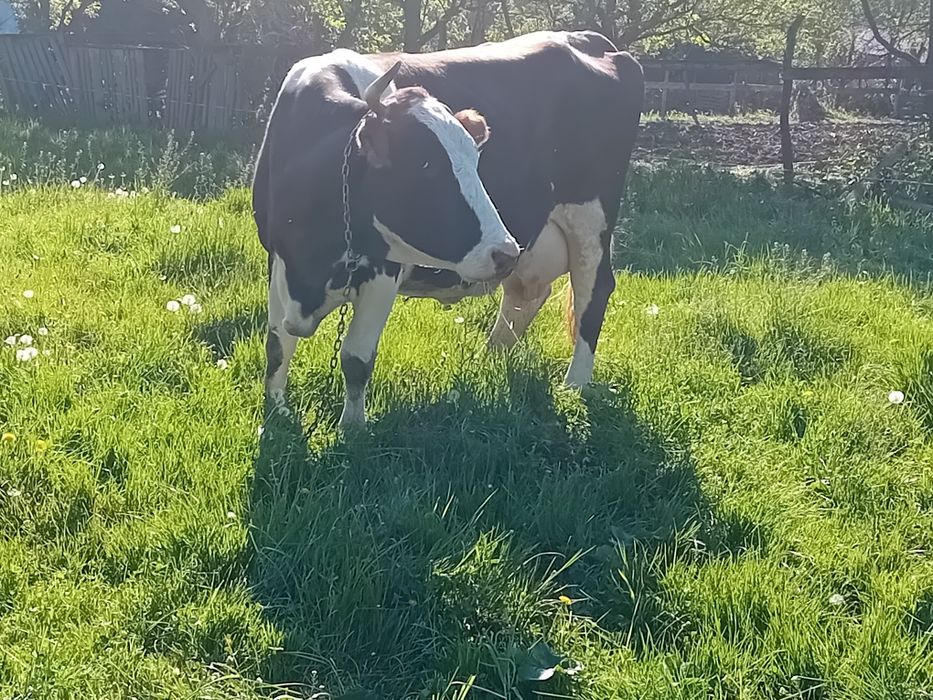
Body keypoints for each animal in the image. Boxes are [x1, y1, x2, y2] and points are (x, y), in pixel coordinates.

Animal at [252, 30, 644, 428]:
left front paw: (352, 428)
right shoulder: (279, 259)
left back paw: (575, 384)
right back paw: (492, 358)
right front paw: (277, 411)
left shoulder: (383, 271)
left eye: (475, 160)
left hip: (591, 220)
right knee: (526, 293)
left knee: (592, 294)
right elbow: (277, 345)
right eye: (426, 165)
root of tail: (587, 37)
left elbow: (355, 359)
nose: (504, 252)